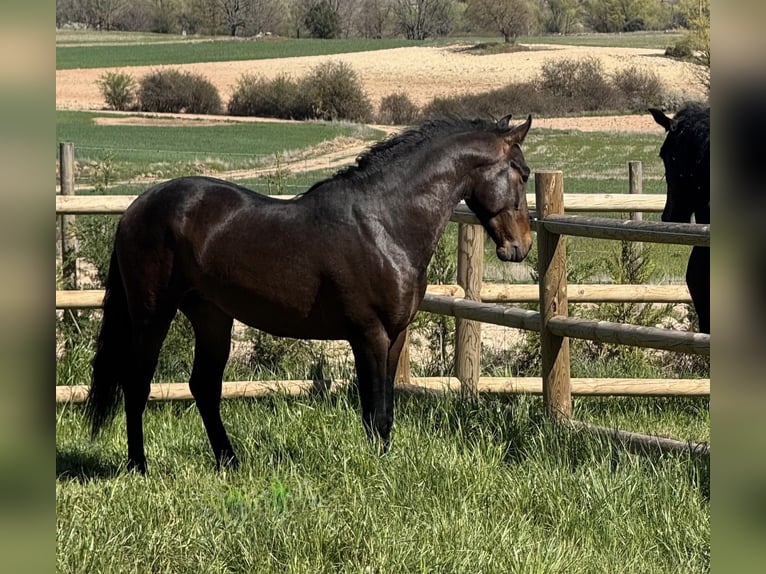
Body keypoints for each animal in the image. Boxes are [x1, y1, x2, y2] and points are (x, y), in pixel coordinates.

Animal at [85, 114, 534, 473]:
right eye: (522, 172)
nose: (522, 246)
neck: (384, 224)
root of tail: (136, 208)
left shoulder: (395, 336)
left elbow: (385, 409)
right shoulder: (369, 335)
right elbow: (374, 413)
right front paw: (377, 472)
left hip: (212, 316)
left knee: (204, 387)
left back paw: (230, 462)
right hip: (152, 314)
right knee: (138, 384)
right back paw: (139, 466)